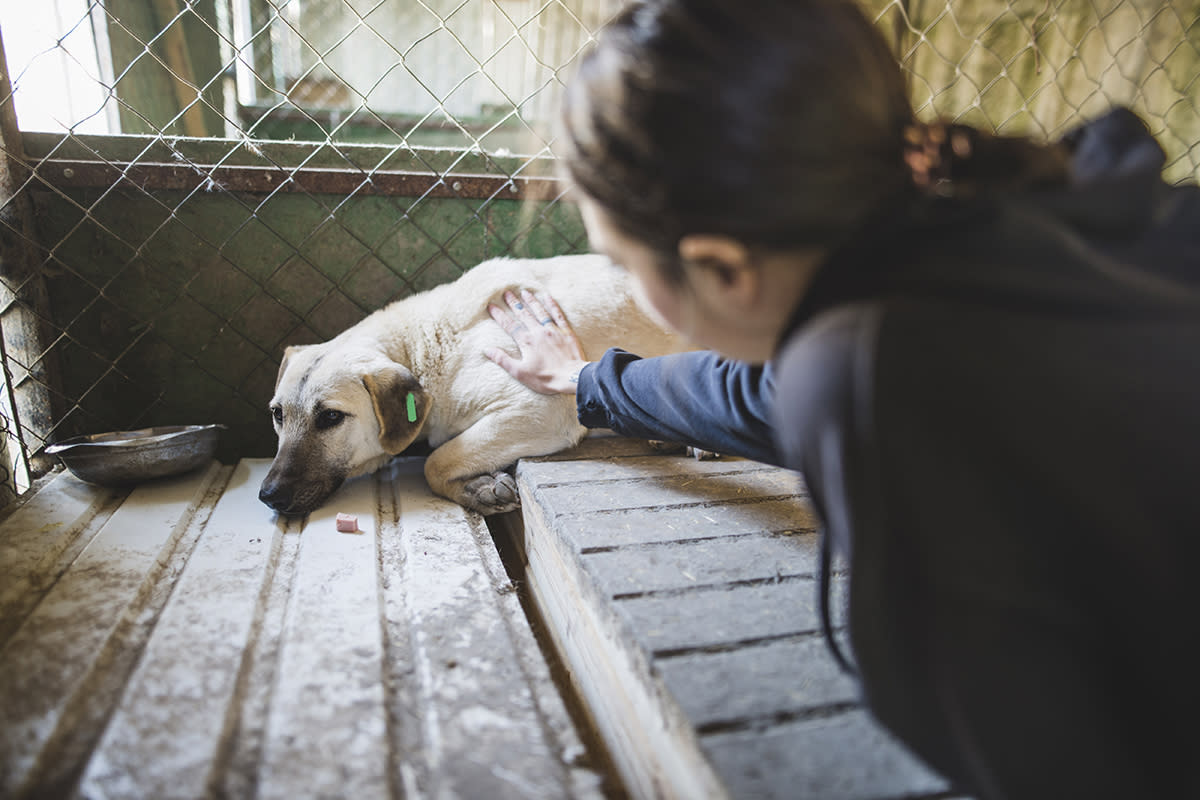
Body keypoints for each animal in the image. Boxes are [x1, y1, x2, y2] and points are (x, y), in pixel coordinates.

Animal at [260, 256, 696, 520]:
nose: (268, 495)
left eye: (331, 417)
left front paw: (476, 487)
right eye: (277, 415)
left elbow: (435, 462)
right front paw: (478, 487)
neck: (428, 343)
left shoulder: (539, 409)